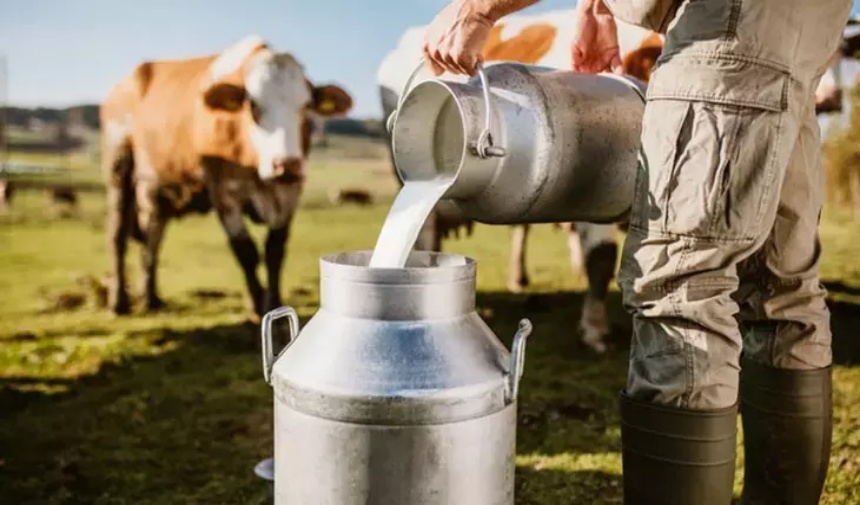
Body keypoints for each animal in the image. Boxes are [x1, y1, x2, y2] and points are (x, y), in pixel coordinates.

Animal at [101, 34, 352, 318]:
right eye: (253, 105)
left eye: (307, 106)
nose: (286, 164)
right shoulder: (223, 191)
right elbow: (246, 250)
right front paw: (256, 305)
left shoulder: (290, 191)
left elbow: (275, 250)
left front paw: (274, 301)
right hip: (119, 169)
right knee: (118, 237)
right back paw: (118, 302)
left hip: (158, 190)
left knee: (153, 239)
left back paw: (151, 297)